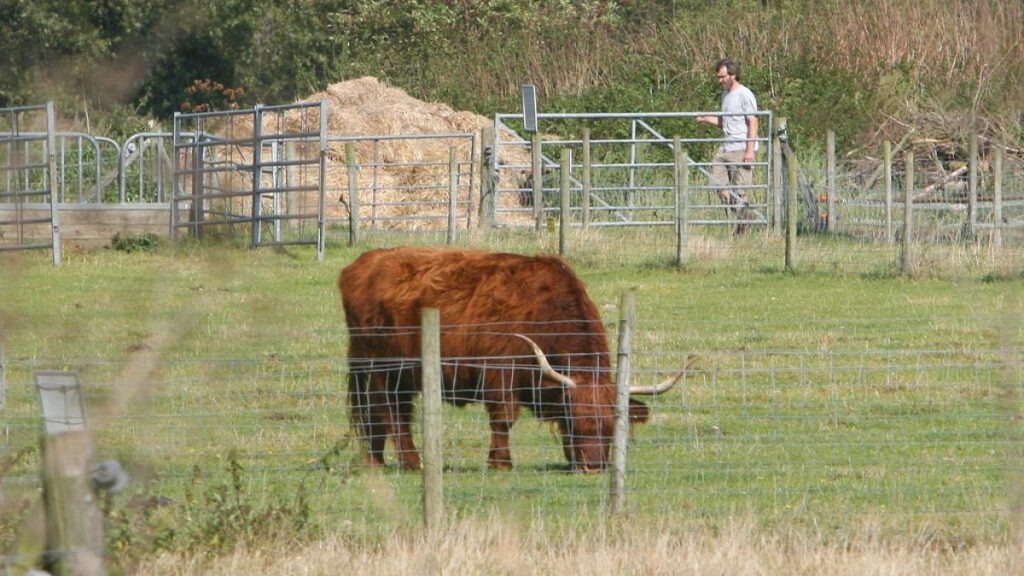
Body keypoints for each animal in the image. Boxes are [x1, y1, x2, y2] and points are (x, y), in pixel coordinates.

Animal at [338, 247, 684, 472]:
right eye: (573, 423)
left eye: (610, 428)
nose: (594, 466)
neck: (544, 313)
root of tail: (363, 262)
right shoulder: (500, 375)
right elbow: (503, 419)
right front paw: (501, 462)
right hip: (381, 367)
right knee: (387, 410)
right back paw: (410, 462)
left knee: (384, 411)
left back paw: (376, 460)